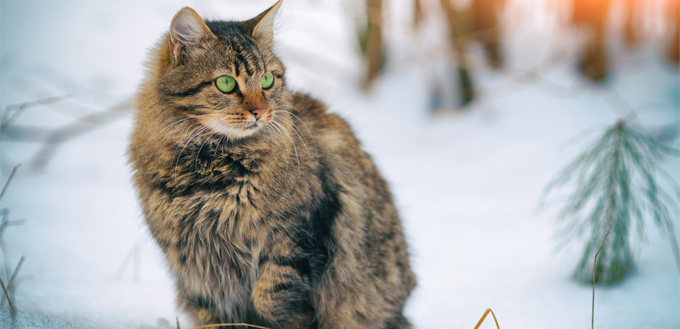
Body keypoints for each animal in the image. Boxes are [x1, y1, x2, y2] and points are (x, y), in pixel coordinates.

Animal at [127, 1, 414, 326]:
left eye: (268, 80)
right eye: (226, 83)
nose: (260, 111)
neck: (211, 170)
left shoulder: (300, 233)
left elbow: (270, 296)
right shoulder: (197, 268)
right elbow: (215, 314)